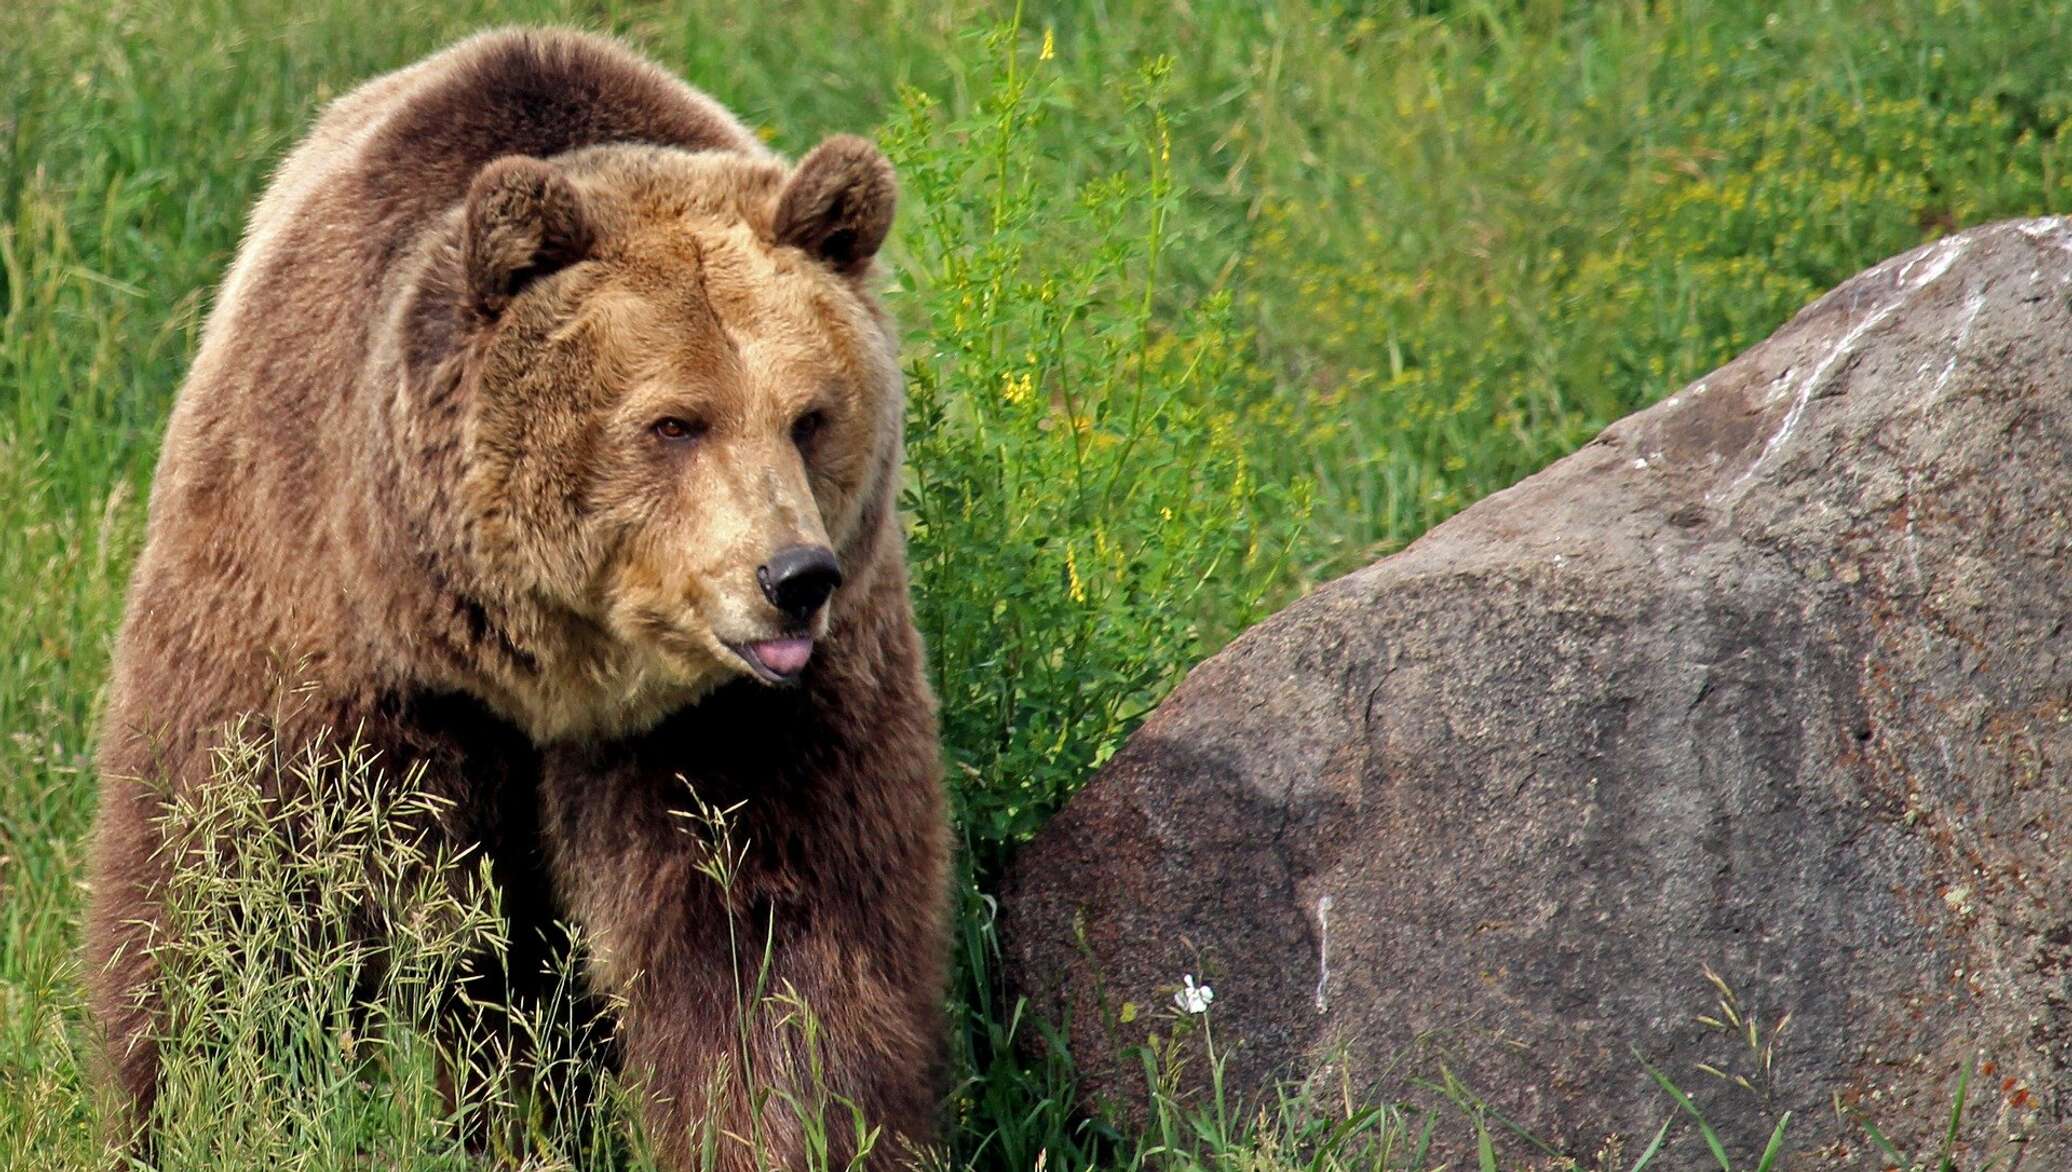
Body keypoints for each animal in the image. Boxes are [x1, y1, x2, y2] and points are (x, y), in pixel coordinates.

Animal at [87, 27, 948, 1172]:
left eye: (809, 415)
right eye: (674, 421)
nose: (793, 578)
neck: (541, 666)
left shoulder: (743, 722)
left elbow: (772, 942)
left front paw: (799, 1125)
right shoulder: (319, 619)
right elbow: (250, 892)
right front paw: (216, 1108)